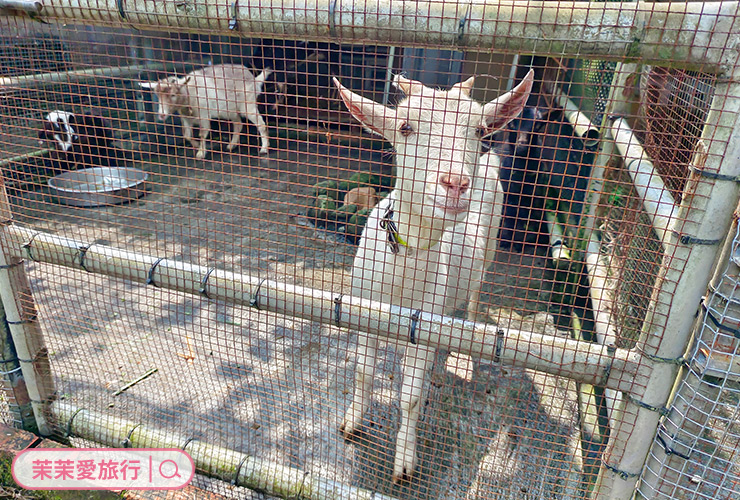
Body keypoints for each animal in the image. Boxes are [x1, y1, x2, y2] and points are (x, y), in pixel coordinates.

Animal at [139, 64, 272, 158]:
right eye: (157, 96)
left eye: (173, 95)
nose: (161, 115)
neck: (190, 92)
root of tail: (254, 79)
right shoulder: (186, 118)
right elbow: (187, 135)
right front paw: (196, 146)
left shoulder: (203, 115)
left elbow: (202, 133)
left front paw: (201, 153)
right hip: (229, 109)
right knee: (238, 123)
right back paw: (231, 145)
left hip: (248, 104)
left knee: (261, 124)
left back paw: (264, 148)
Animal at [334, 69, 532, 480]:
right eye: (405, 127)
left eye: (479, 129)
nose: (455, 183)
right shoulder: (362, 309)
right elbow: (362, 372)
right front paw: (351, 423)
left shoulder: (423, 323)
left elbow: (410, 397)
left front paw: (404, 462)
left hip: (489, 247)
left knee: (475, 291)